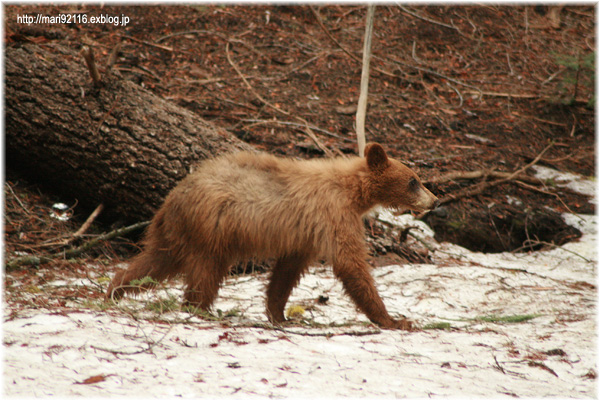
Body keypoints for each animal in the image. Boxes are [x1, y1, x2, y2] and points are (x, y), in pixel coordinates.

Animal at [105, 143, 438, 328]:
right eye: (413, 180)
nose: (434, 201)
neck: (353, 191)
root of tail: (173, 197)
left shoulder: (304, 234)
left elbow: (286, 272)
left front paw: (279, 314)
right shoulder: (334, 215)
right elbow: (350, 263)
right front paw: (394, 319)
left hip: (177, 233)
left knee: (152, 262)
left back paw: (114, 290)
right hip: (211, 231)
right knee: (205, 273)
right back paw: (199, 309)